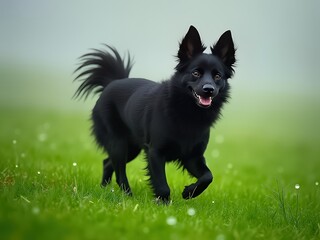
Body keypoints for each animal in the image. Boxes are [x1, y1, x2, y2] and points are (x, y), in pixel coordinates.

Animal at [74, 25, 235, 202]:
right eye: (196, 73)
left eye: (217, 75)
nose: (209, 89)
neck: (187, 113)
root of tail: (112, 82)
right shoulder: (155, 152)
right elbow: (162, 186)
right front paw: (163, 203)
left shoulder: (192, 156)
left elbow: (208, 177)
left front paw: (189, 192)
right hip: (118, 143)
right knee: (120, 171)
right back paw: (128, 196)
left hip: (132, 148)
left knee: (107, 163)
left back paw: (104, 189)